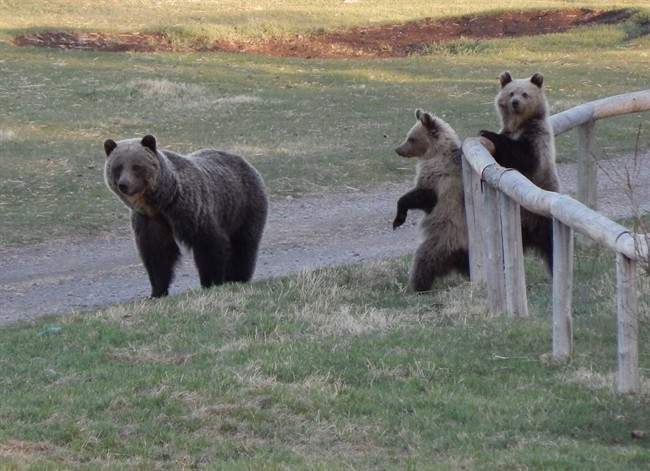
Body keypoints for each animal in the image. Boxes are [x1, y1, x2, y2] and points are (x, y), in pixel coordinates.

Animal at [104, 134, 268, 298]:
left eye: (136, 166)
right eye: (118, 167)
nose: (124, 184)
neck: (161, 201)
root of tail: (244, 161)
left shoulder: (191, 209)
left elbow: (209, 244)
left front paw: (211, 282)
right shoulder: (149, 219)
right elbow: (157, 253)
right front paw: (157, 291)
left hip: (244, 205)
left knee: (244, 243)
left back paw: (238, 277)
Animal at [393, 109, 469, 292]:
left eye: (411, 138)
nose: (398, 149)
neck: (435, 152)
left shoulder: (437, 179)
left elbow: (420, 197)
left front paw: (398, 219)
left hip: (439, 243)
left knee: (422, 262)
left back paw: (416, 287)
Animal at [479, 71, 561, 271]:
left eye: (525, 94)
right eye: (511, 93)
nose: (516, 102)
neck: (519, 125)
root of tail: (531, 238)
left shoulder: (537, 137)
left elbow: (523, 156)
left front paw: (487, 132)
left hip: (542, 219)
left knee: (552, 247)